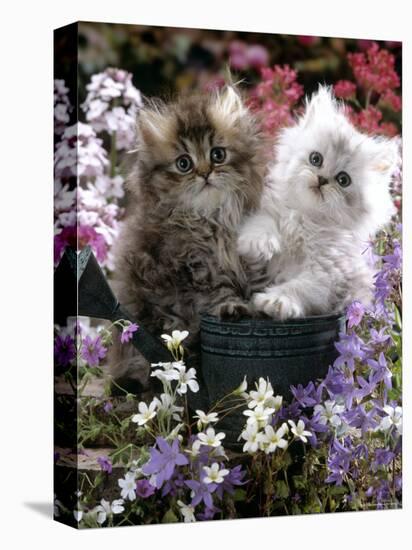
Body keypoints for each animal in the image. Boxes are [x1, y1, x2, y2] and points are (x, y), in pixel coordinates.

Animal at [108, 87, 266, 392]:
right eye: (184, 164)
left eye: (217, 154)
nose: (205, 173)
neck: (213, 219)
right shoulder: (194, 266)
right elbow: (220, 293)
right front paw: (233, 308)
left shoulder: (250, 257)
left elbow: (260, 283)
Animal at [238, 85, 400, 320]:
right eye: (316, 159)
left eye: (343, 180)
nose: (322, 179)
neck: (306, 218)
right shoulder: (271, 214)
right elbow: (262, 223)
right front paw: (258, 244)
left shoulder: (327, 275)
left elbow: (298, 288)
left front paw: (274, 302)